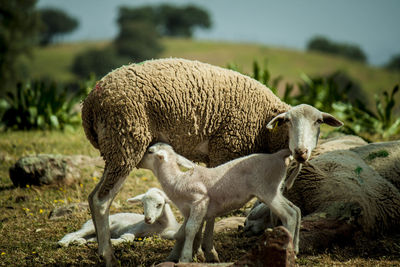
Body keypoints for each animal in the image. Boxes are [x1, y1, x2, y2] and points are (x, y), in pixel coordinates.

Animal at [139, 143, 302, 262]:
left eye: (150, 151)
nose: (139, 162)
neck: (177, 180)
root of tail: (278, 155)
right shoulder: (188, 211)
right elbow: (181, 233)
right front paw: (174, 257)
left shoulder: (200, 202)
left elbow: (190, 230)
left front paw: (185, 258)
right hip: (276, 190)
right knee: (296, 209)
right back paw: (296, 248)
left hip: (268, 190)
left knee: (289, 214)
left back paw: (288, 251)